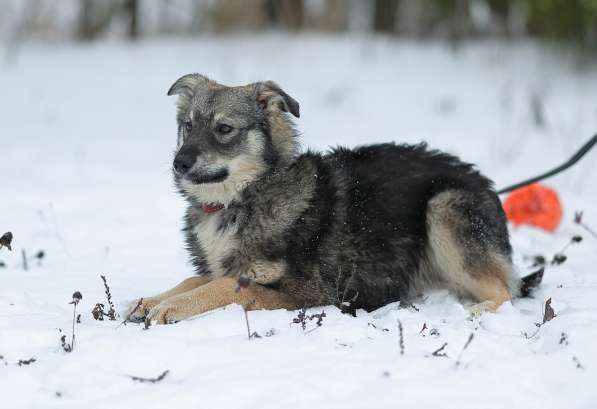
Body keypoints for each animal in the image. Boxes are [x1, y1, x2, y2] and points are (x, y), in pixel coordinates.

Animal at [128, 71, 536, 324]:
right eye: (188, 126)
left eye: (224, 129)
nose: (179, 163)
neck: (245, 198)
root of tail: (481, 181)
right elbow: (195, 280)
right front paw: (150, 300)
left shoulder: (306, 293)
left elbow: (225, 286)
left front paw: (172, 307)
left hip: (443, 207)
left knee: (506, 290)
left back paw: (480, 310)